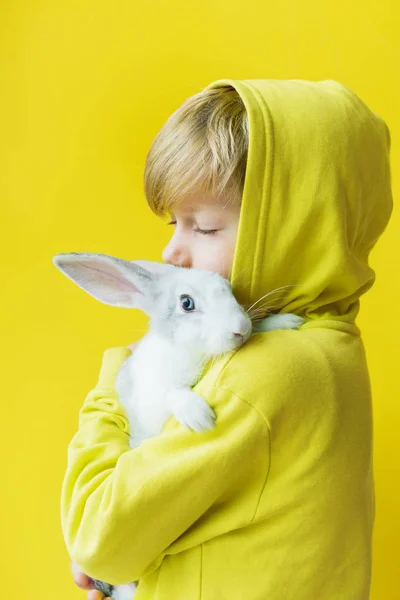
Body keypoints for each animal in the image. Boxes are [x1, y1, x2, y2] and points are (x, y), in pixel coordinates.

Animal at [53, 253, 304, 600]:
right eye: (186, 303)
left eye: (227, 288)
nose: (240, 329)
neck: (193, 354)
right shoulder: (157, 396)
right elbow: (172, 393)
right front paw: (199, 416)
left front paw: (286, 322)